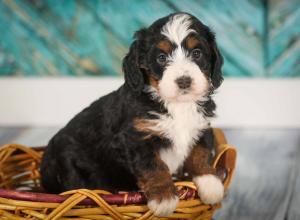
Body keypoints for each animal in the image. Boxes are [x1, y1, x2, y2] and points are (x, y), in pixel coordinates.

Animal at [40, 12, 223, 217]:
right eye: (161, 57)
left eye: (197, 53)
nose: (184, 81)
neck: (176, 105)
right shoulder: (136, 138)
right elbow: (154, 166)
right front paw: (164, 197)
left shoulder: (201, 126)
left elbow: (200, 153)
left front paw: (210, 182)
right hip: (69, 165)